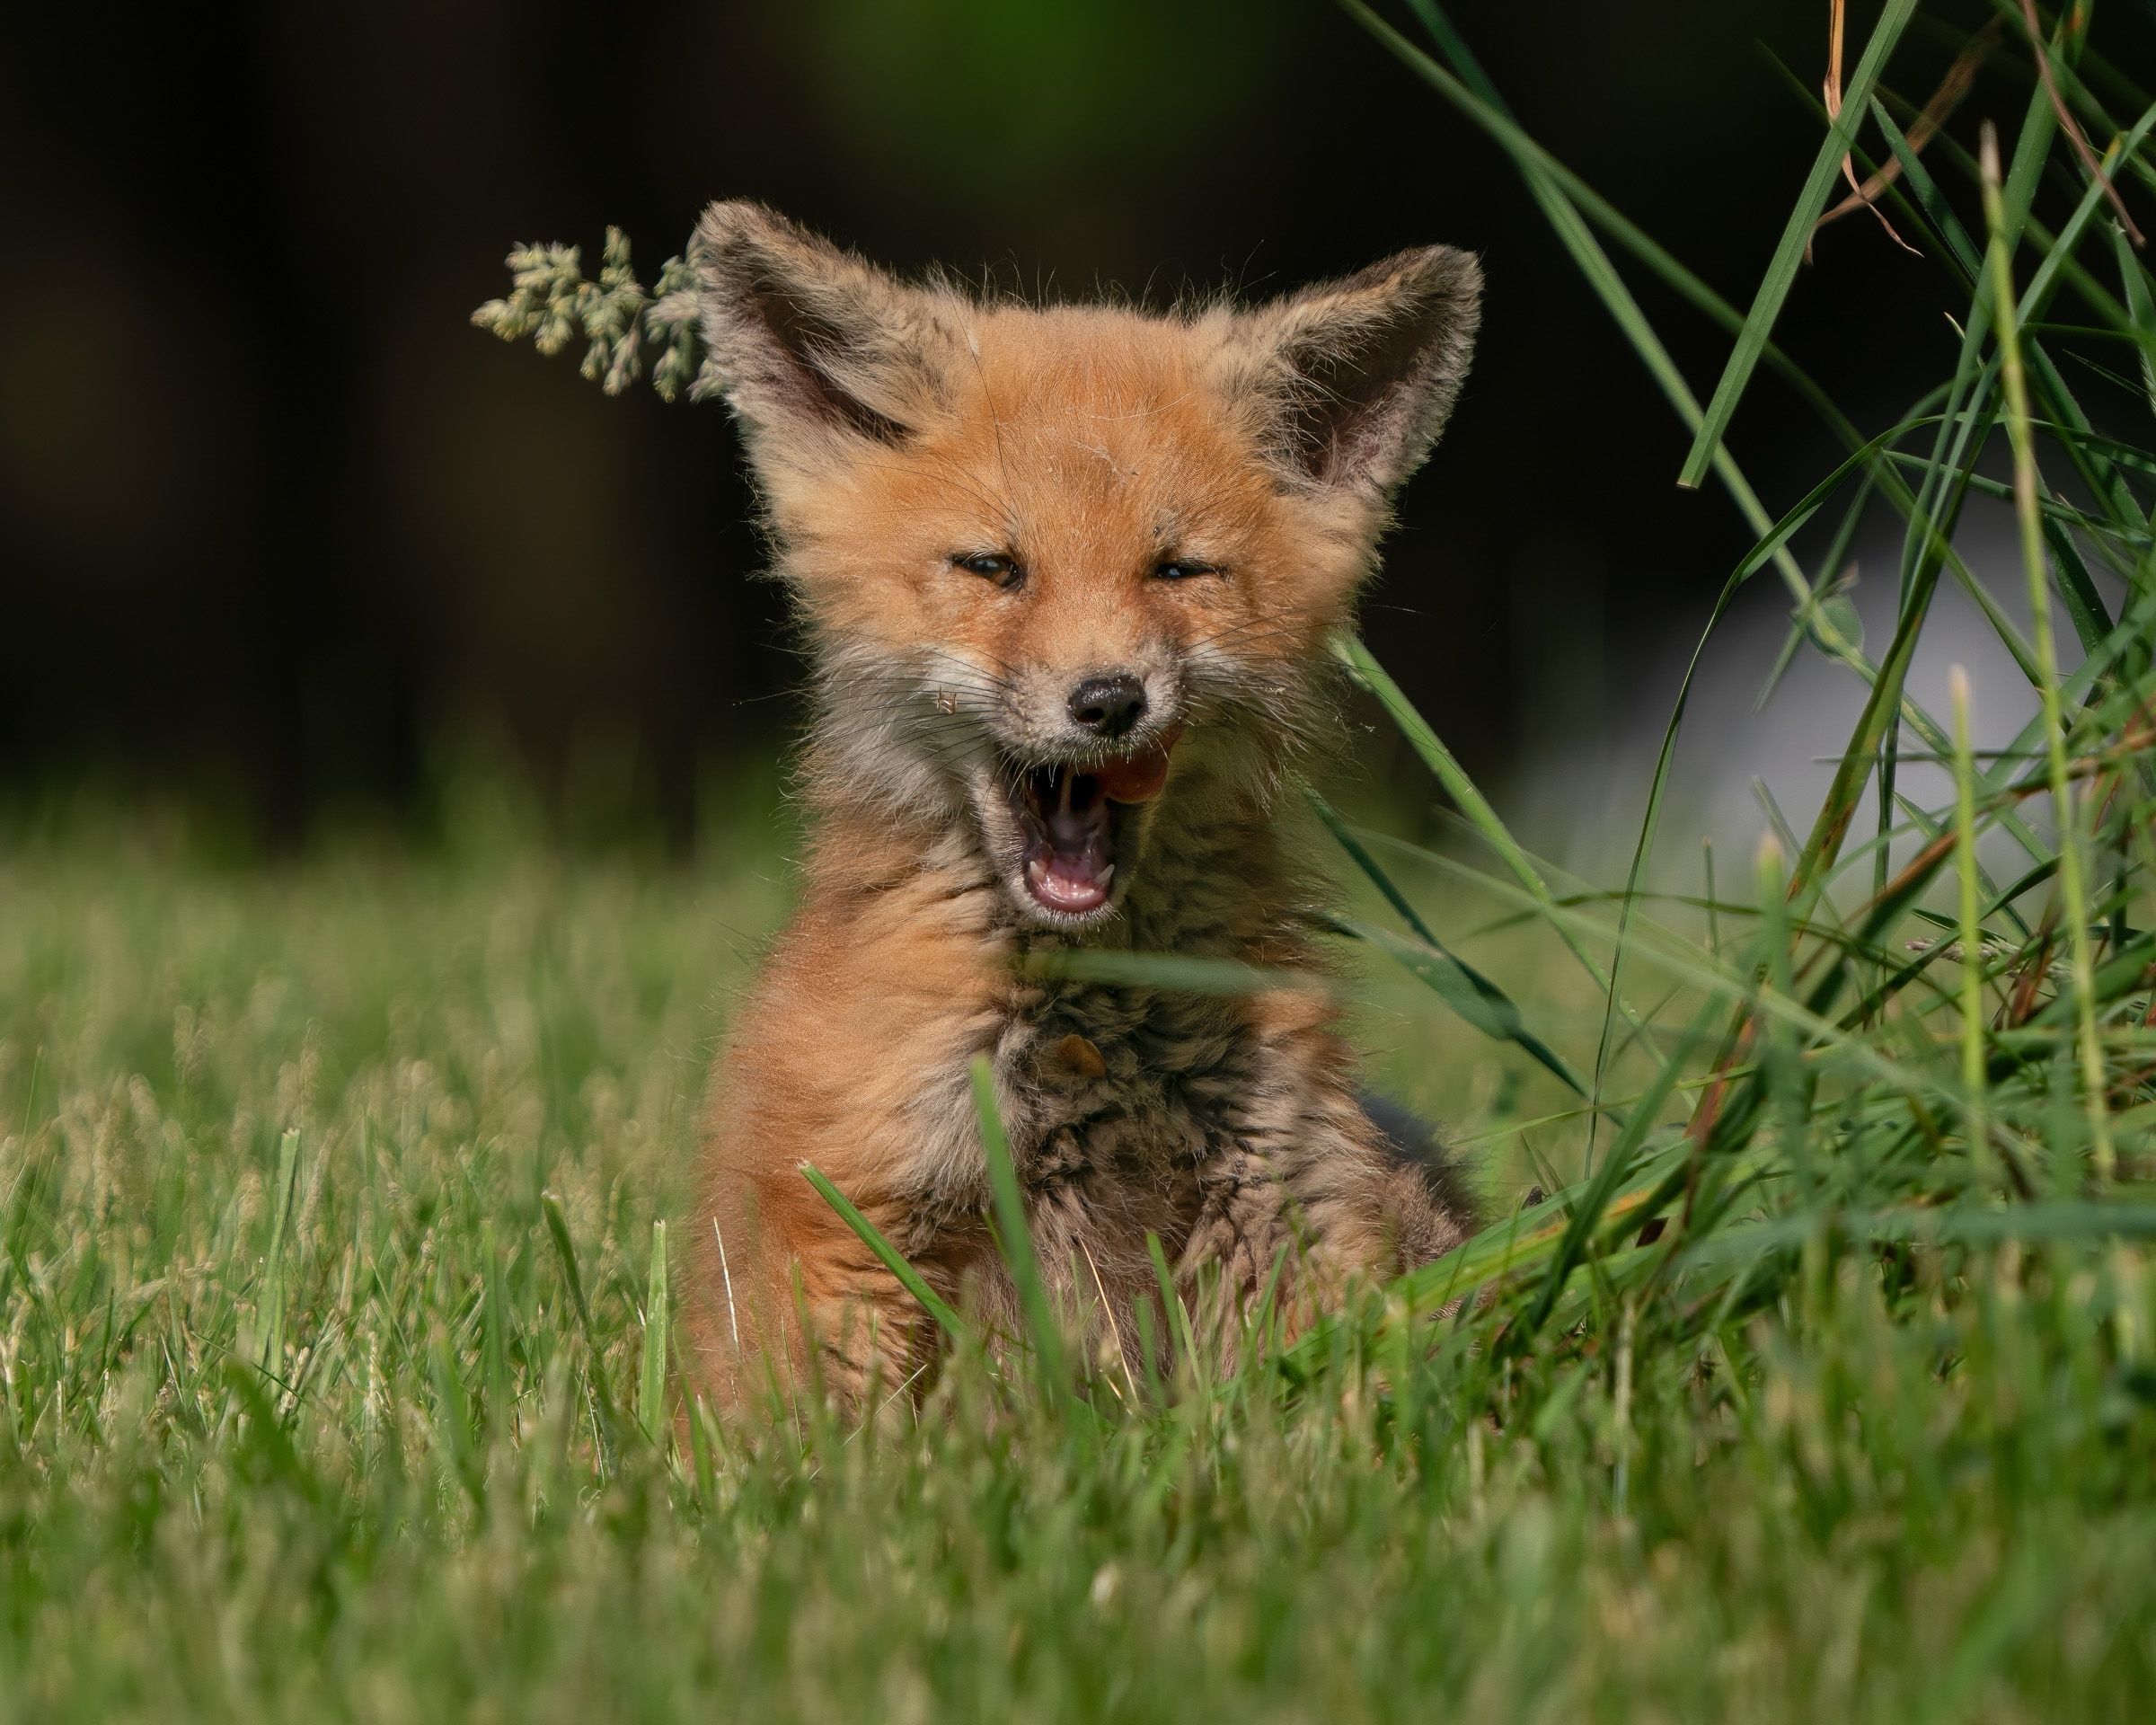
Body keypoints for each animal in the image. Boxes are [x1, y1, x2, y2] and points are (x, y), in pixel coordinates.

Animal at [684, 201, 1484, 1416]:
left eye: (1180, 570)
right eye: (993, 567)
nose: (1108, 700)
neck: (1089, 1029)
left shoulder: (1292, 1200)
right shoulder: (846, 1218)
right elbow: (820, 1429)